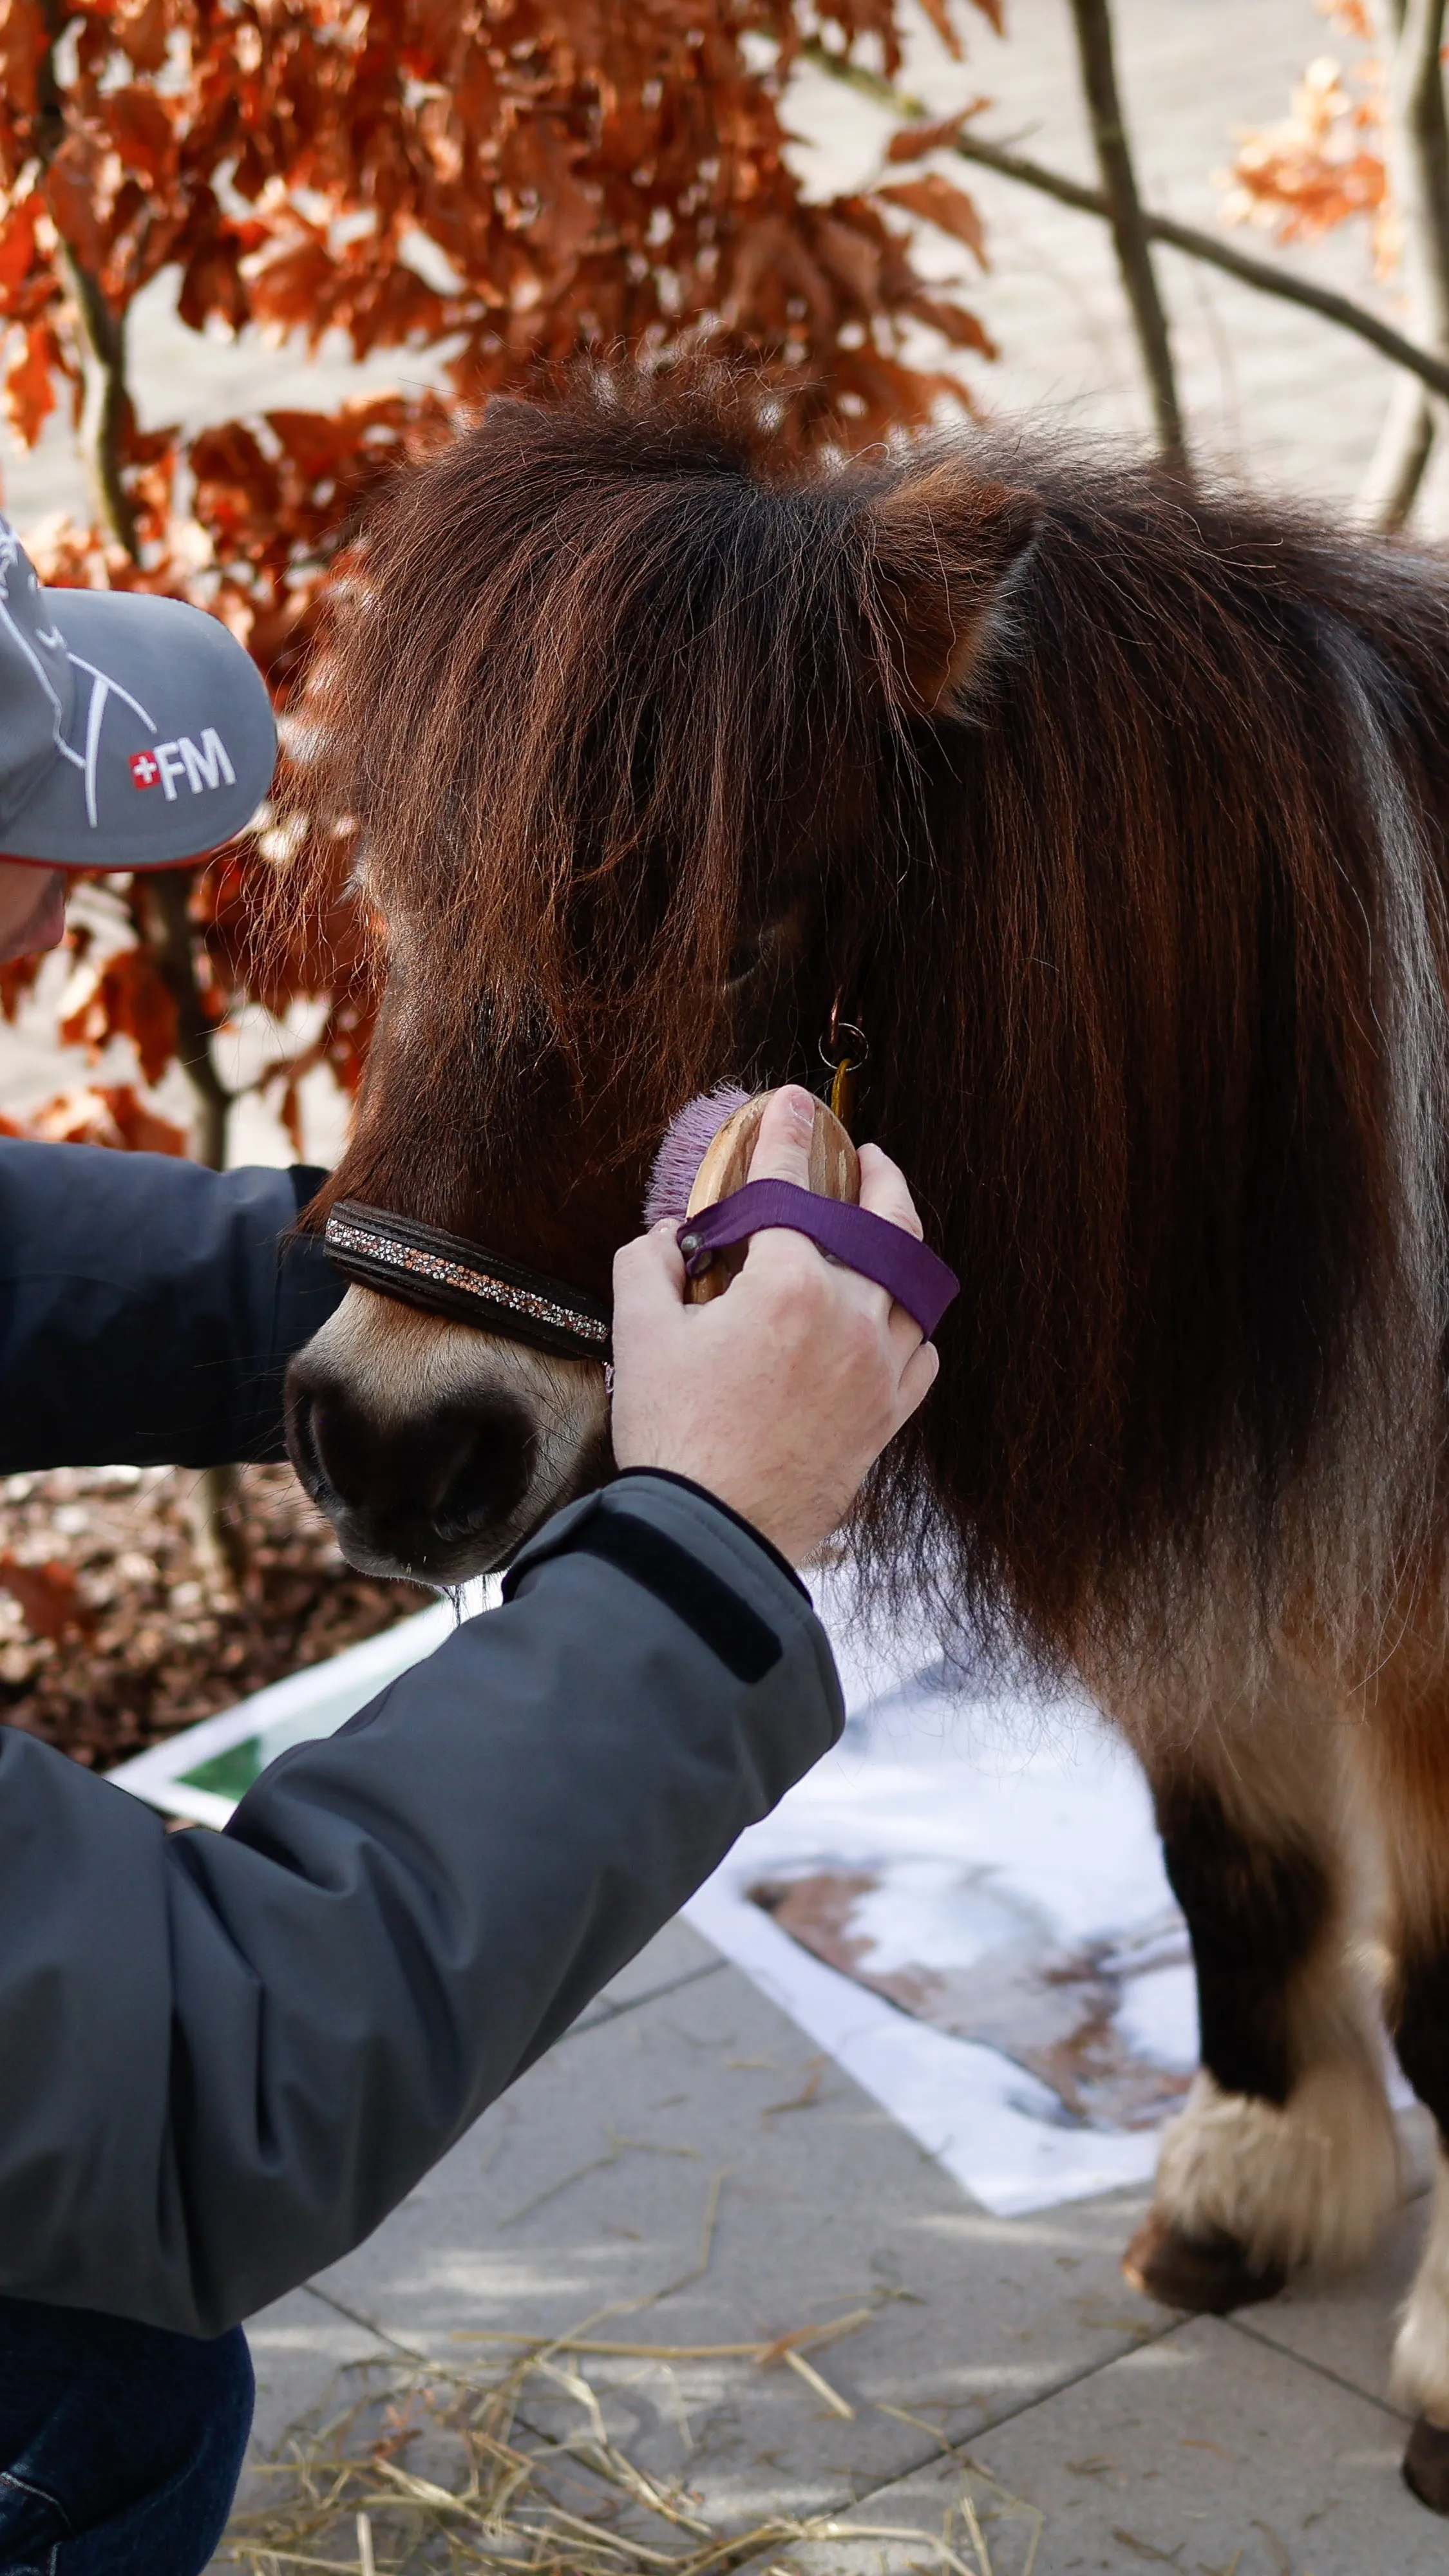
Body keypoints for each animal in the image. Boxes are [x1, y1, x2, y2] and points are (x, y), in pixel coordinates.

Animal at [285, 374, 1449, 2504]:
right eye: (405, 902)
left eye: (742, 938)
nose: (397, 1444)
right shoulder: (1203, 1548)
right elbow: (1236, 1874)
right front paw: (1259, 2182)